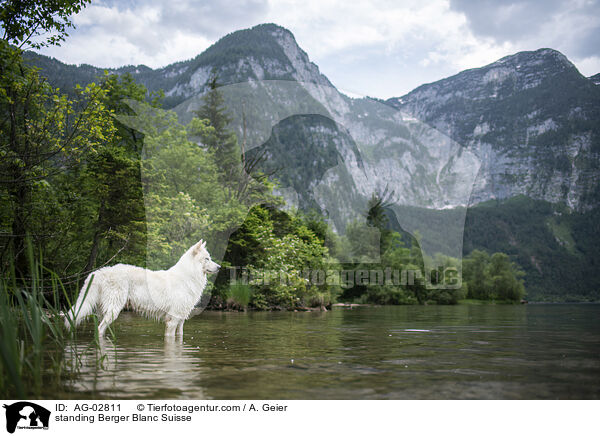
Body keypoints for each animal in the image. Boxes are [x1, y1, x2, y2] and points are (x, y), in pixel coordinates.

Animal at [64, 238, 219, 338]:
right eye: (207, 259)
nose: (219, 267)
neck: (189, 275)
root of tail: (100, 272)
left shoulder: (180, 321)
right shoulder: (172, 320)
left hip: (103, 311)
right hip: (114, 309)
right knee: (100, 329)